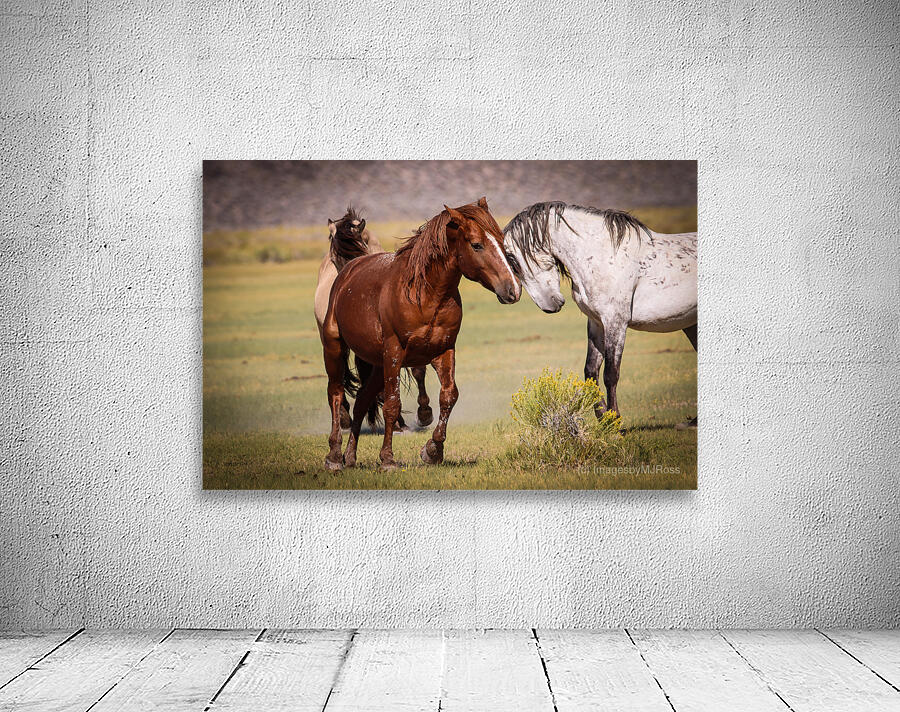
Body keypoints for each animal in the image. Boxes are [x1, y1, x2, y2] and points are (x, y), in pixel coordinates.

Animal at [314, 207, 432, 431]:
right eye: (336, 259)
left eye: (359, 253)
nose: (345, 294)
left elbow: (418, 370)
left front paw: (423, 414)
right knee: (340, 374)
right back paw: (346, 416)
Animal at [503, 201, 697, 425]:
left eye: (514, 263)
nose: (550, 305)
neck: (603, 256)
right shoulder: (597, 323)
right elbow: (590, 371)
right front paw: (602, 415)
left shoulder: (616, 322)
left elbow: (610, 373)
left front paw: (614, 418)